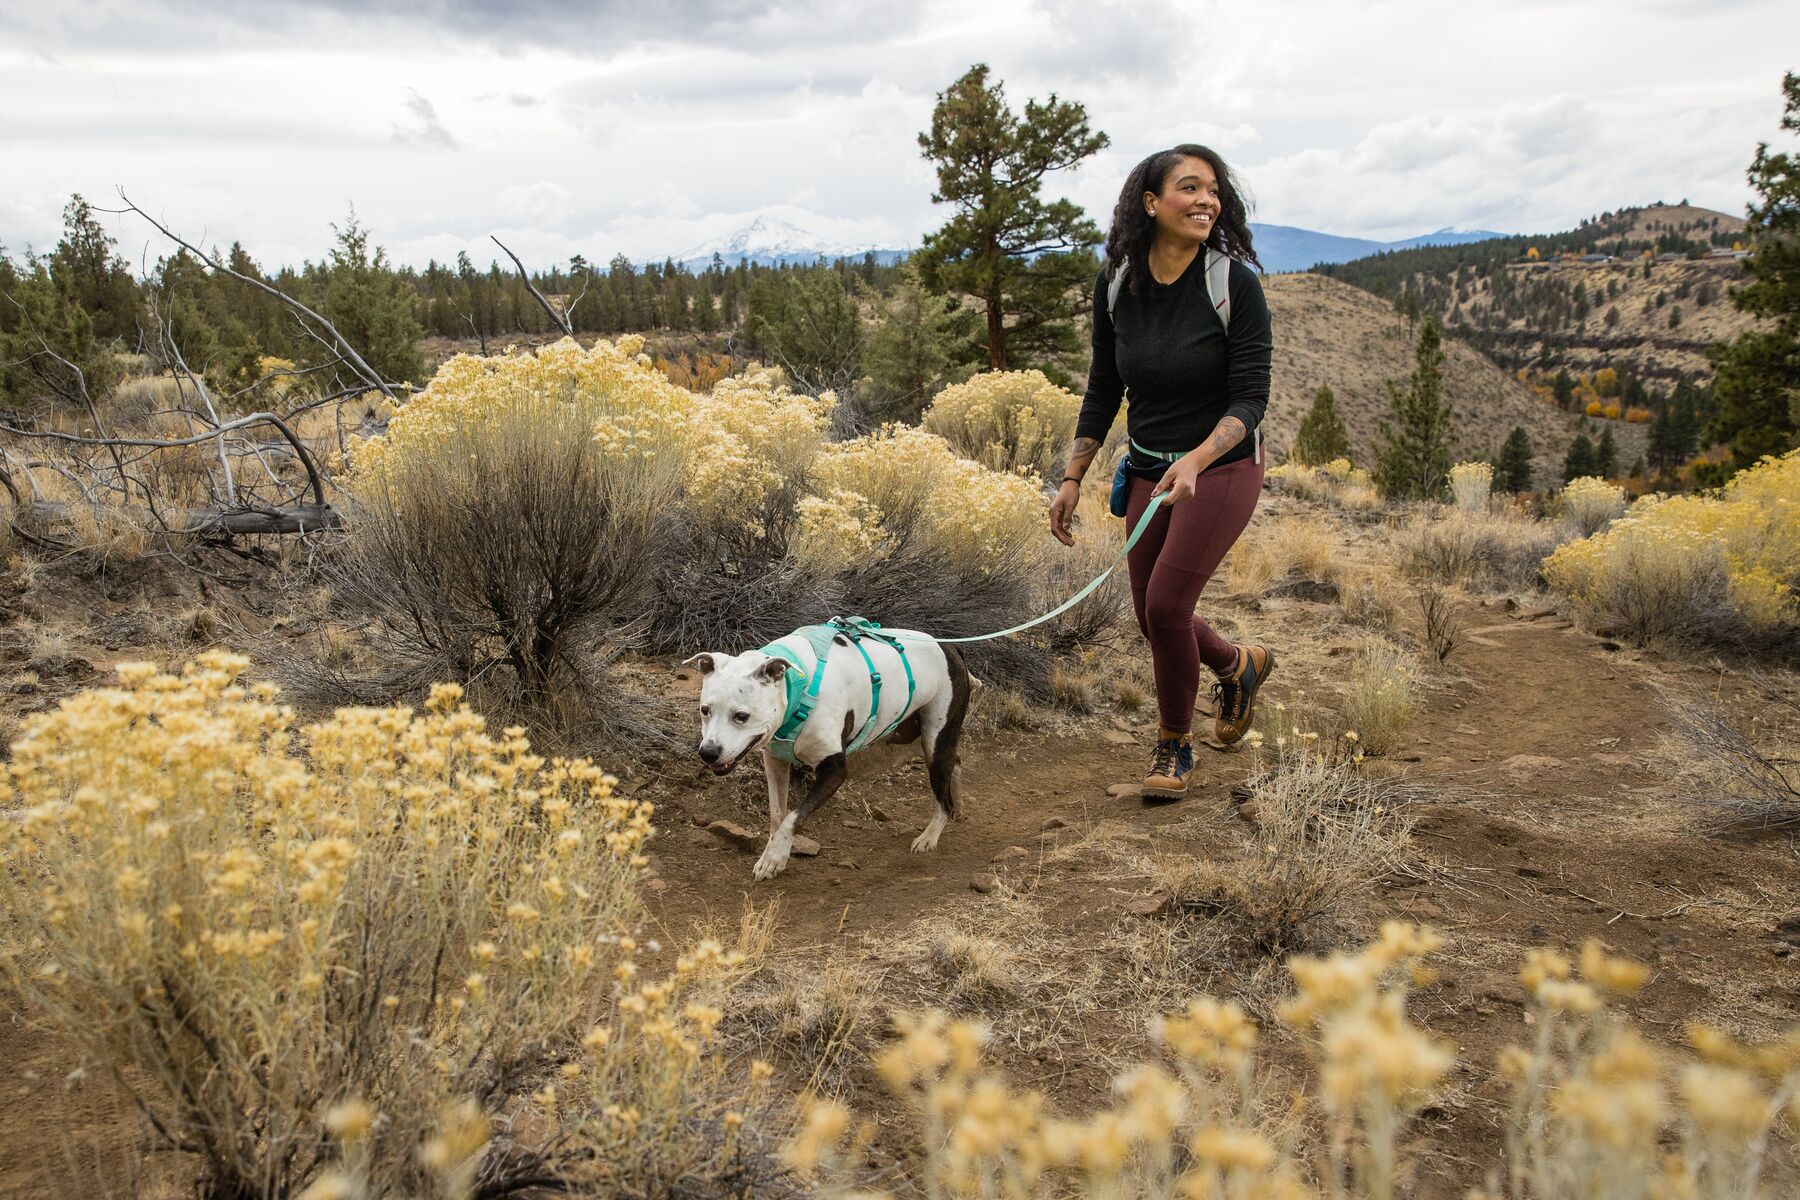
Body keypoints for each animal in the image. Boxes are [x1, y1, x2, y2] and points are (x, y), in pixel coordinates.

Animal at [684, 629, 972, 881]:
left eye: (741, 716)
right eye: (705, 710)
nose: (708, 752)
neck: (798, 687)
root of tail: (948, 647)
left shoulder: (834, 770)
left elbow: (792, 817)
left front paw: (774, 858)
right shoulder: (775, 761)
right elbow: (778, 814)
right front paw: (774, 850)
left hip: (935, 740)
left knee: (942, 798)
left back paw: (930, 835)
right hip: (909, 733)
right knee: (956, 761)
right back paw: (958, 803)